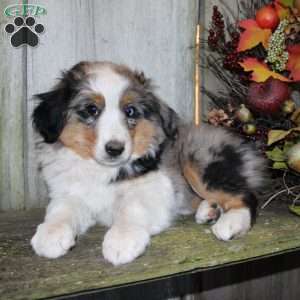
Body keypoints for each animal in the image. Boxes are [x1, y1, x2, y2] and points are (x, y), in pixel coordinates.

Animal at [31, 61, 264, 264]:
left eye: (130, 111)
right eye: (91, 110)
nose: (115, 149)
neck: (101, 170)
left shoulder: (155, 187)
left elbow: (131, 207)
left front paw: (122, 240)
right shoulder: (68, 192)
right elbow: (61, 209)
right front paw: (50, 235)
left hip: (196, 158)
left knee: (246, 195)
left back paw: (231, 223)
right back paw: (209, 210)